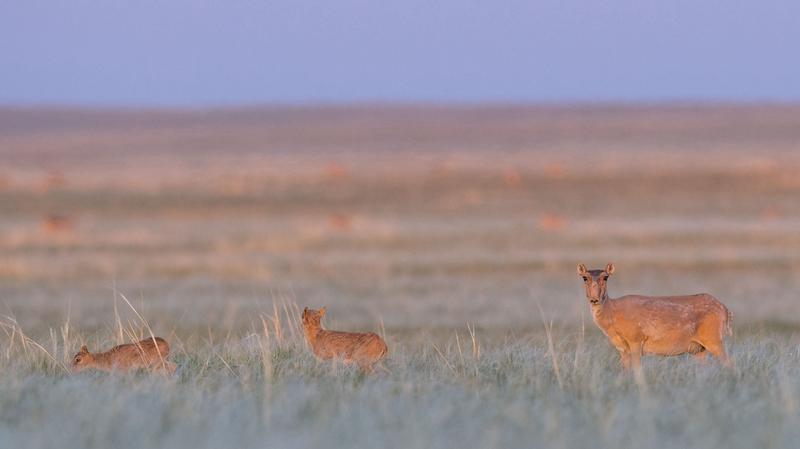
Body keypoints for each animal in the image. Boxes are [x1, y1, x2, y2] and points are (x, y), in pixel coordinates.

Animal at [576, 260, 732, 370]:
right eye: (584, 278)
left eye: (605, 277)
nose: (594, 299)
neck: (612, 315)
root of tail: (725, 310)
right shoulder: (622, 348)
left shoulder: (636, 340)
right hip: (699, 349)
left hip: (714, 339)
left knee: (730, 363)